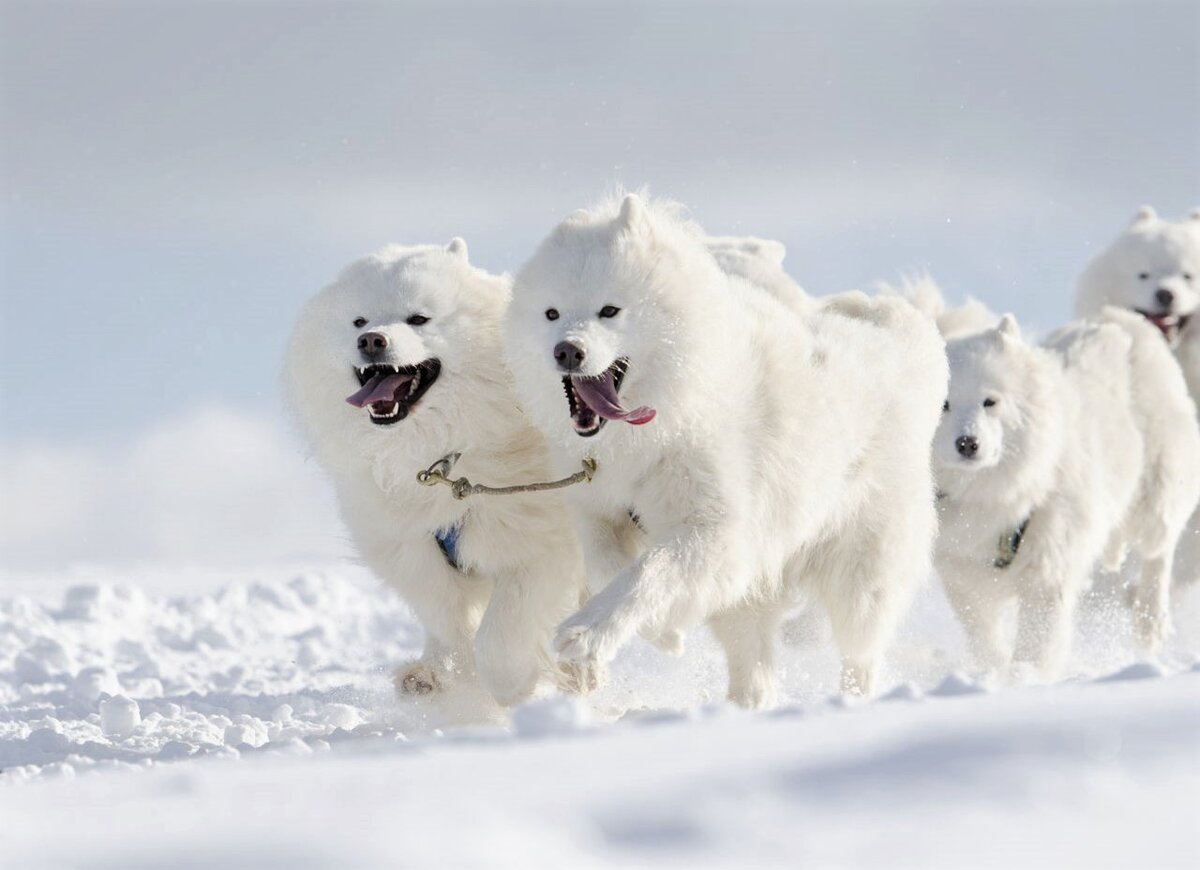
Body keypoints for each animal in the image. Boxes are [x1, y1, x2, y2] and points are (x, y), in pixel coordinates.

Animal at [286, 238, 595, 705]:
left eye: (419, 318)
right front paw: (450, 681)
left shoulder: (541, 544)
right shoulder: (413, 550)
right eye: (359, 320)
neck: (440, 456)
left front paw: (513, 686)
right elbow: (450, 624)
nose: (370, 339)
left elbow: (501, 636)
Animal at [501, 193, 940, 700]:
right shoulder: (598, 511)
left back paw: (852, 699)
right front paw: (663, 634)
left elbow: (648, 571)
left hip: (862, 574)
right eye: (551, 313)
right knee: (755, 663)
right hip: (757, 596)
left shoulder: (718, 532)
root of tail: (903, 335)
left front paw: (586, 633)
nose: (567, 350)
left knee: (861, 652)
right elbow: (609, 568)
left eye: (609, 311)